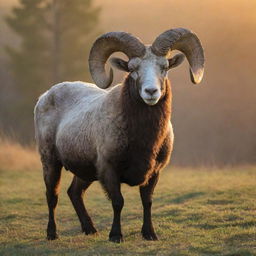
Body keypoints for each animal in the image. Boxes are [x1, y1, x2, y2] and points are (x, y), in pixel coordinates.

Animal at [35, 28, 205, 242]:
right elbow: (118, 202)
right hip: (50, 161)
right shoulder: (109, 170)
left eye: (165, 67)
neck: (143, 140)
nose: (151, 91)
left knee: (74, 192)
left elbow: (147, 201)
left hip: (86, 171)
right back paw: (52, 234)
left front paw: (150, 234)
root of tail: (45, 95)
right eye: (132, 69)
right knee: (52, 196)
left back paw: (90, 229)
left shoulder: (154, 172)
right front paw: (116, 236)